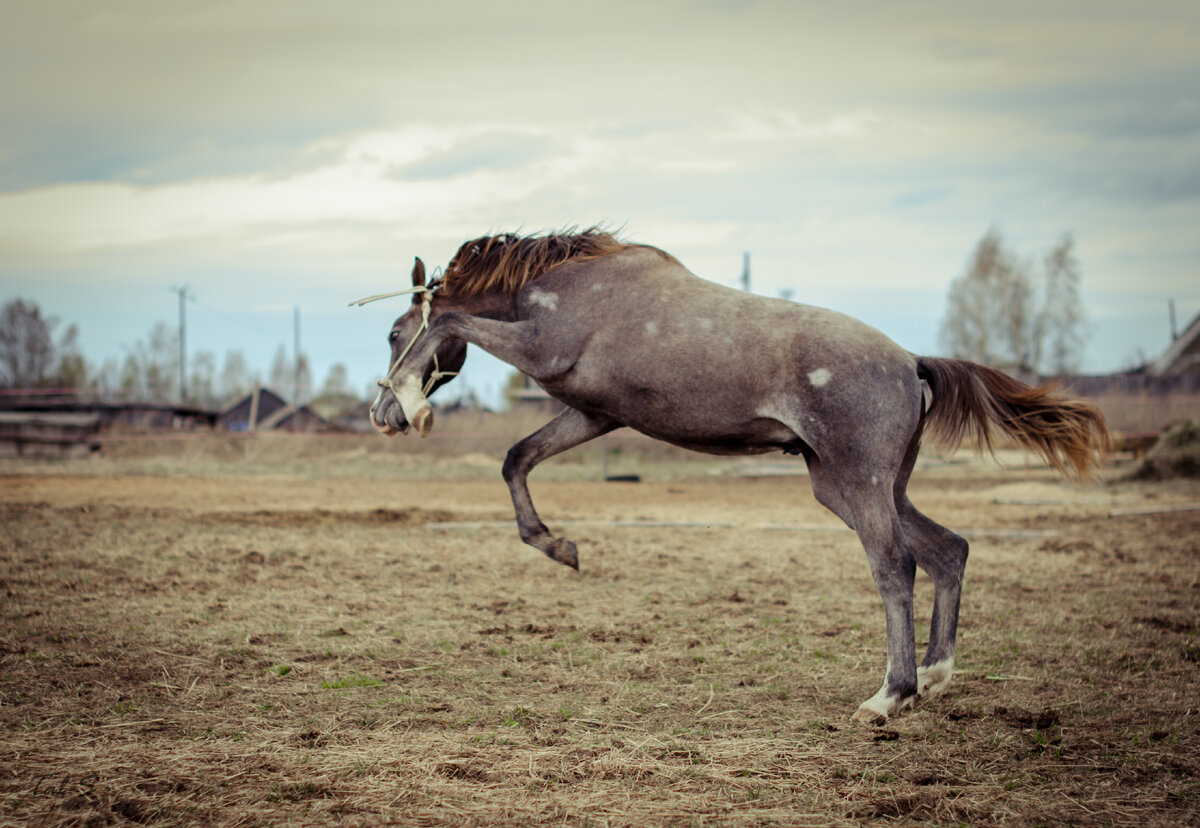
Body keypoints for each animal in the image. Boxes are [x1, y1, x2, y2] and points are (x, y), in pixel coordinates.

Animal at [362, 226, 1104, 720]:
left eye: (396, 333)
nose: (382, 415)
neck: (567, 285)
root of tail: (910, 362)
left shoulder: (545, 354)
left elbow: (455, 321)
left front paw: (421, 405)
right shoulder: (594, 414)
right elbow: (517, 457)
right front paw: (559, 547)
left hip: (860, 484)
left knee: (895, 566)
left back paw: (889, 695)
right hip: (849, 486)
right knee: (948, 551)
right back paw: (936, 674)